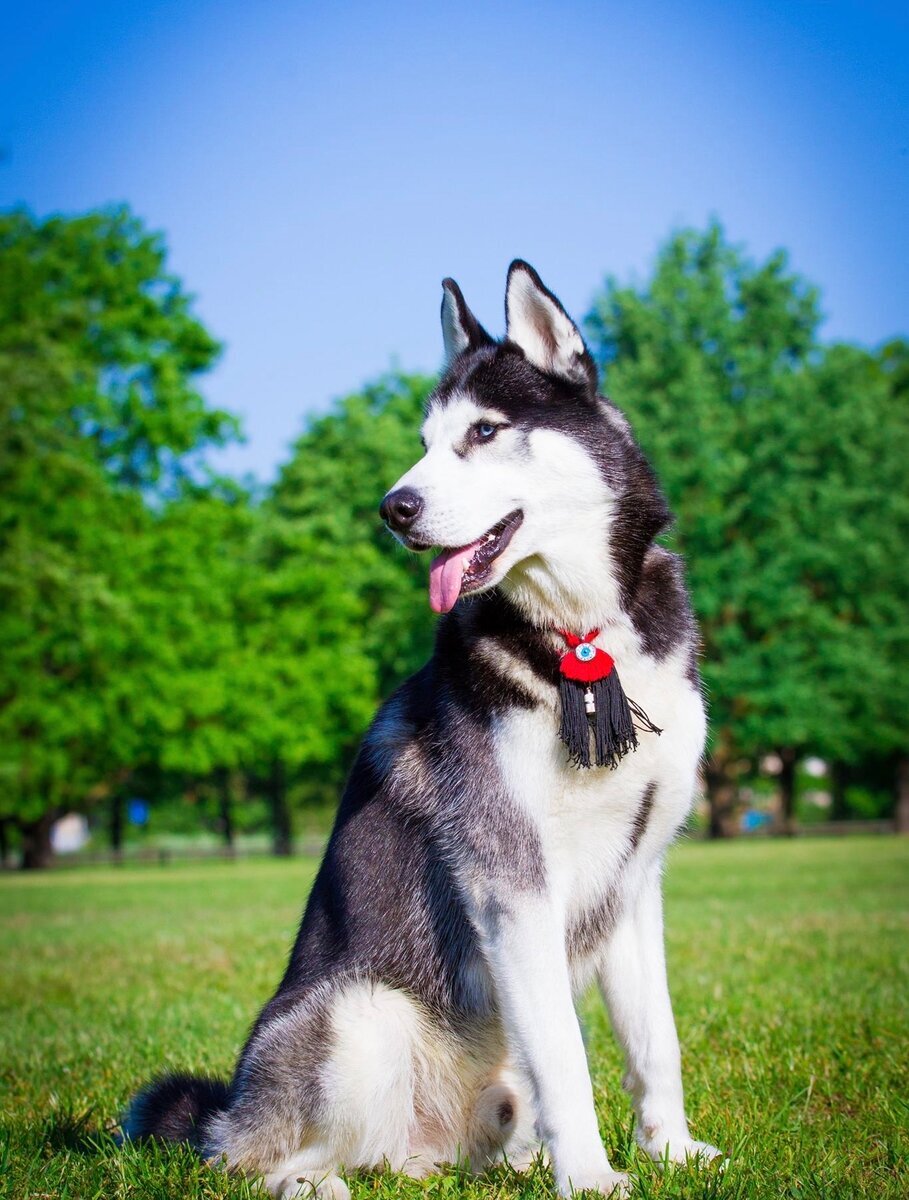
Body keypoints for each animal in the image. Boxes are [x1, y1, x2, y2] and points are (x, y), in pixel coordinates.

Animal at [124, 260, 724, 1190]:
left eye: (482, 432)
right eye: (425, 440)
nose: (392, 507)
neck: (585, 638)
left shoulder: (635, 878)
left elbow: (653, 1042)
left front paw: (670, 1152)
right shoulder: (511, 879)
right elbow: (566, 1058)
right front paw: (591, 1179)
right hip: (357, 1016)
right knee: (249, 1160)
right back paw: (311, 1182)